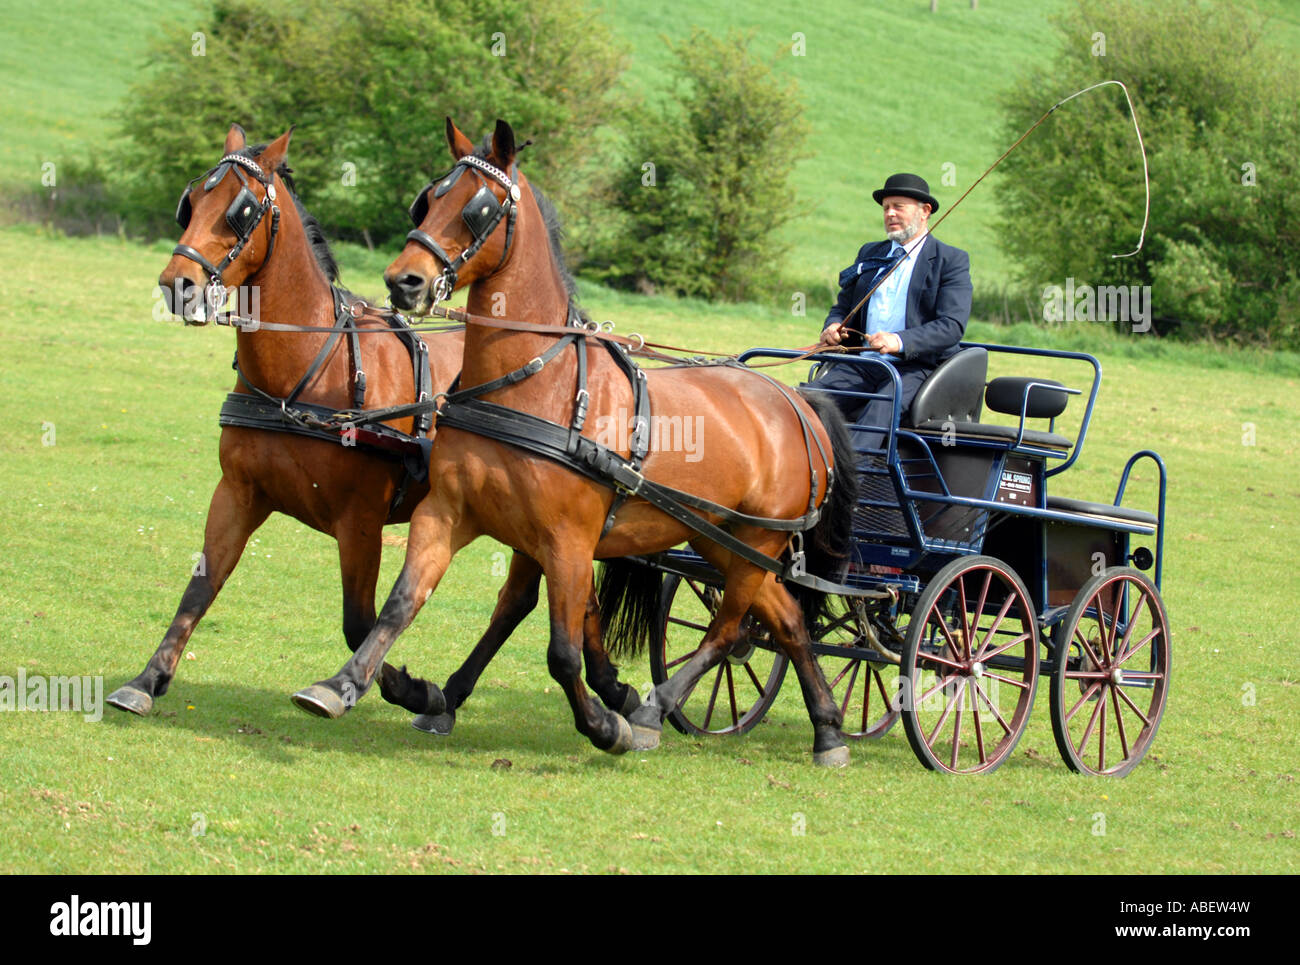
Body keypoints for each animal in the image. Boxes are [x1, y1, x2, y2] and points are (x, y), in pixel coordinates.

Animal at [109, 123, 638, 724]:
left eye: (241, 210)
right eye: (192, 202)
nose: (178, 285)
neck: (309, 372)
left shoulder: (359, 518)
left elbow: (359, 620)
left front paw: (404, 688)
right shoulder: (237, 493)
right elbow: (200, 589)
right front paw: (148, 679)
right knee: (563, 599)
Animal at [291, 118, 859, 765]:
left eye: (479, 209)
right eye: (428, 200)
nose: (403, 282)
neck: (536, 382)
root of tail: (795, 401)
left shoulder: (567, 540)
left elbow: (561, 652)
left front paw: (605, 725)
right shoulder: (450, 513)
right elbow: (401, 603)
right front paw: (343, 686)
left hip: (755, 542)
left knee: (729, 629)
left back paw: (651, 713)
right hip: (722, 540)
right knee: (786, 619)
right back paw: (828, 730)